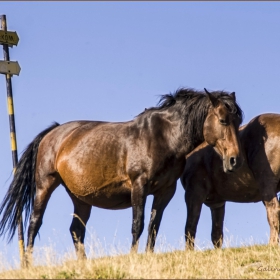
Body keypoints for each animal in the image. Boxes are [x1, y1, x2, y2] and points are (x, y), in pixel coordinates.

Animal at [0, 88, 243, 260]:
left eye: (238, 121)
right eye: (223, 120)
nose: (235, 160)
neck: (163, 137)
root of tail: (53, 132)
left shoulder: (165, 192)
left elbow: (154, 226)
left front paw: (148, 256)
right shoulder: (139, 186)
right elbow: (138, 224)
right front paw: (133, 256)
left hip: (80, 198)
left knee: (76, 230)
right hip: (45, 185)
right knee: (34, 222)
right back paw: (28, 264)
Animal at [180, 112, 280, 248]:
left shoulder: (193, 194)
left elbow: (190, 228)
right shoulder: (218, 203)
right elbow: (217, 235)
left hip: (267, 185)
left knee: (273, 210)